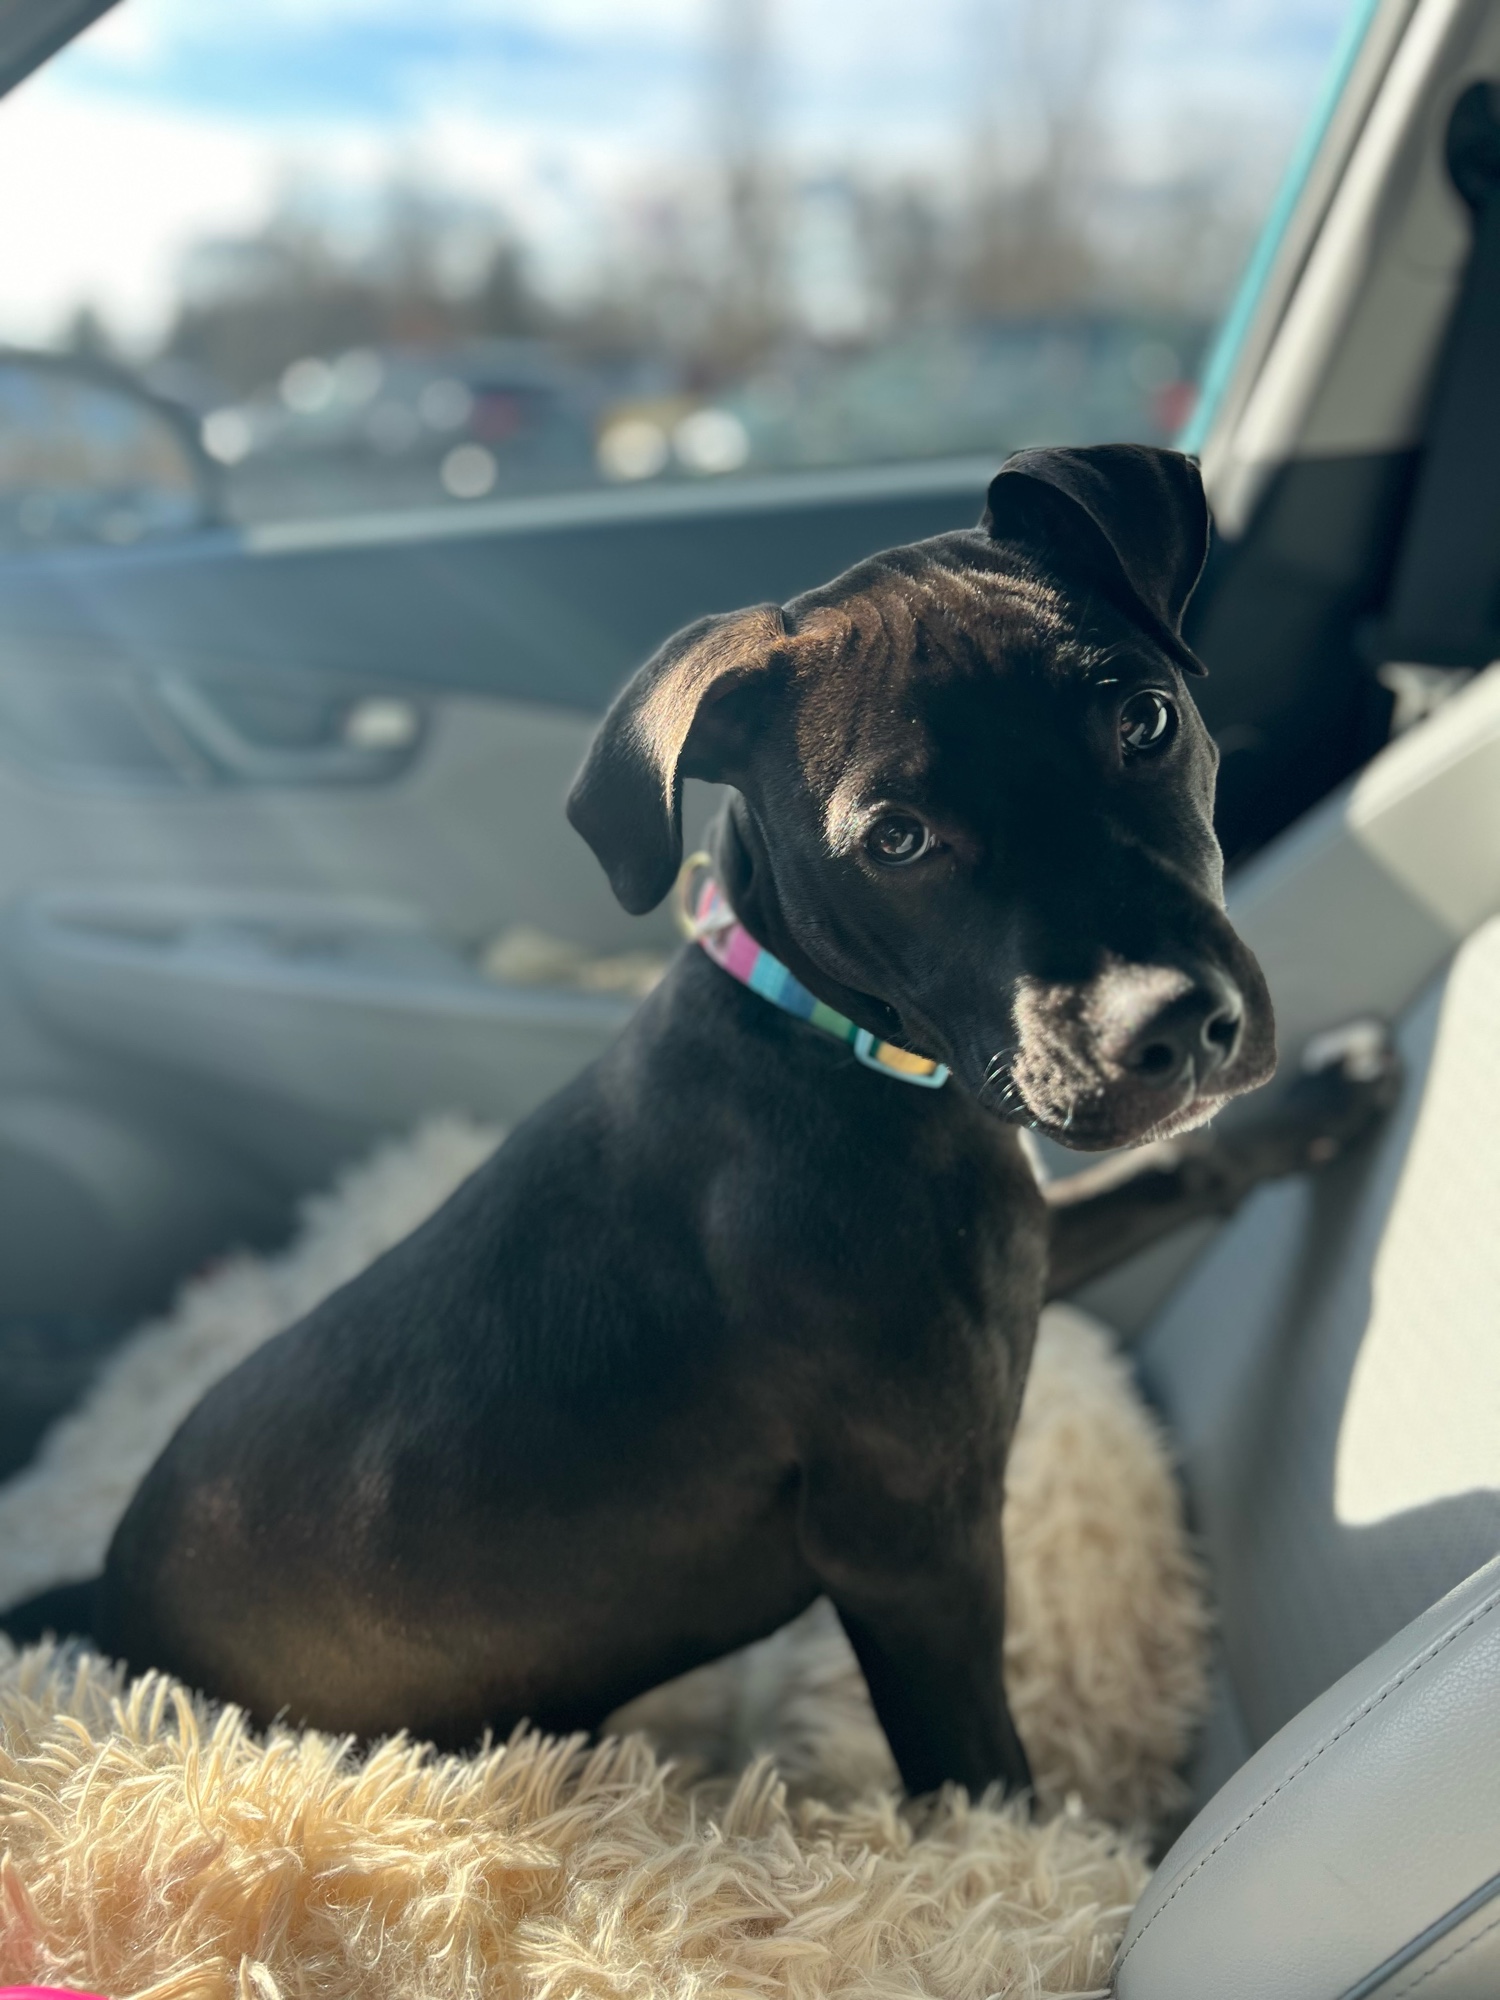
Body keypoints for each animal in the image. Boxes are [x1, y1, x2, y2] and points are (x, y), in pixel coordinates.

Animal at [3, 446, 1395, 1801]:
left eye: (1145, 718)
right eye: (898, 839)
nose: (1170, 1027)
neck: (837, 1041)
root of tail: (105, 1609)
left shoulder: (1019, 1255)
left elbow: (1167, 1173)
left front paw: (1325, 1100)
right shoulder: (912, 1542)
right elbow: (983, 1773)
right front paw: (1043, 1861)